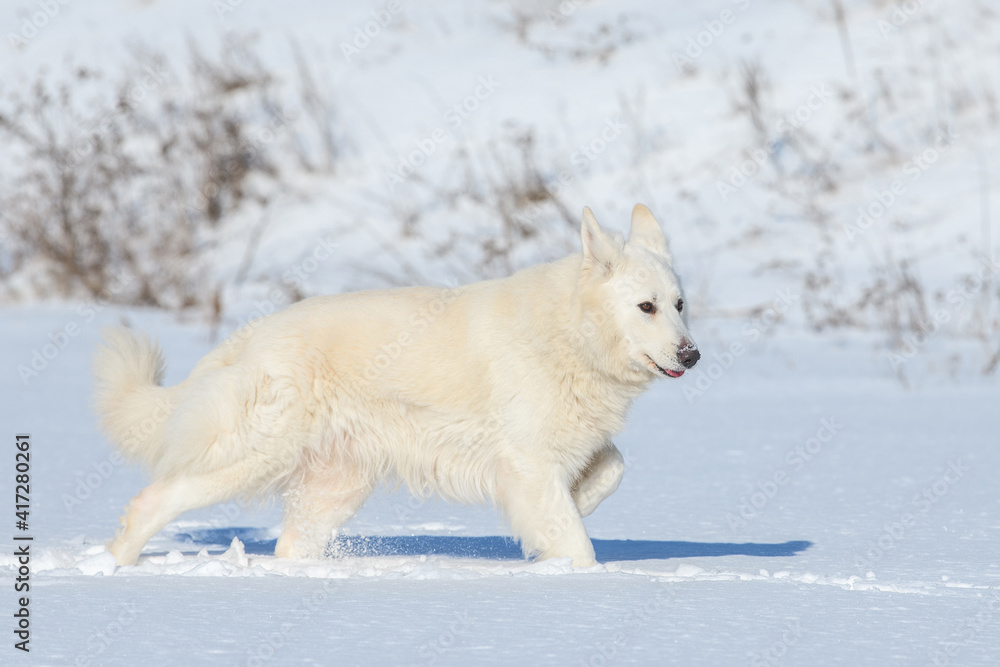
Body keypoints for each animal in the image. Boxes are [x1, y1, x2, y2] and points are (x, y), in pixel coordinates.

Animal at [97, 205, 700, 568]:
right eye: (645, 307)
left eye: (678, 304)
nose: (691, 355)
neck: (569, 334)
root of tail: (251, 334)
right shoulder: (529, 461)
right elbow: (575, 539)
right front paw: (582, 572)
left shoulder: (561, 451)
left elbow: (611, 468)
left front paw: (581, 502)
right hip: (254, 454)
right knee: (155, 499)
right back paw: (115, 564)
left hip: (336, 485)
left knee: (290, 546)